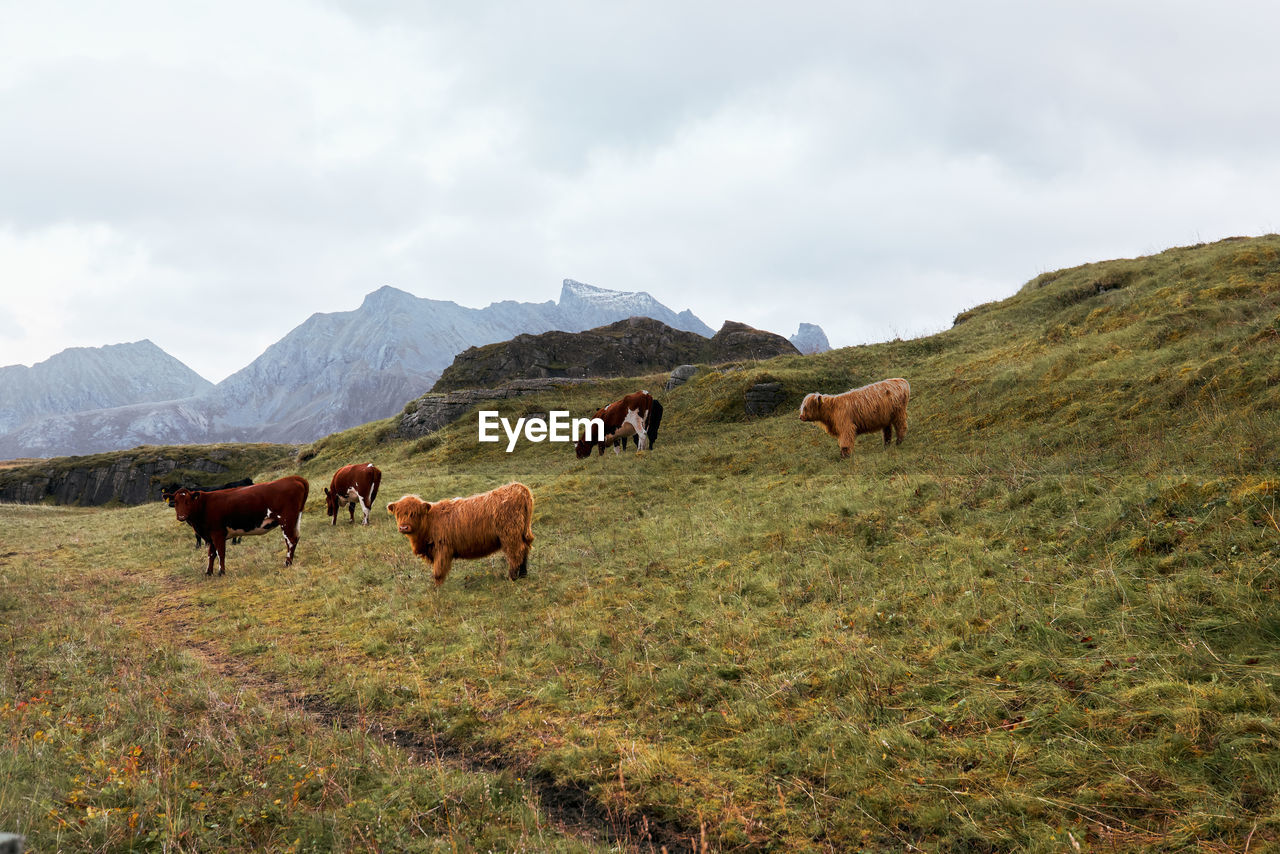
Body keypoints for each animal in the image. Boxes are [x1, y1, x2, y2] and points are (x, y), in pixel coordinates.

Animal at [171, 473, 308, 573]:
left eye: (188, 501)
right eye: (176, 502)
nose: (181, 516)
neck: (204, 505)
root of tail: (293, 478)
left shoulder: (218, 533)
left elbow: (220, 553)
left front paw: (221, 572)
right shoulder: (211, 535)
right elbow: (211, 554)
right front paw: (208, 572)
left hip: (287, 520)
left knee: (291, 540)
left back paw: (287, 563)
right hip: (295, 519)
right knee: (294, 539)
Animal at [384, 481, 535, 588]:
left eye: (414, 513)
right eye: (398, 513)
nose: (404, 527)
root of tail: (519, 488)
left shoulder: (442, 548)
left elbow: (438, 571)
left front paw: (437, 589)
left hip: (510, 535)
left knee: (516, 553)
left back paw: (512, 577)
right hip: (522, 533)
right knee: (524, 551)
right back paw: (523, 575)